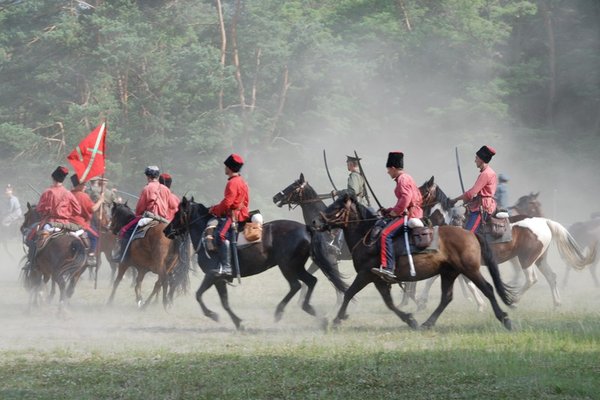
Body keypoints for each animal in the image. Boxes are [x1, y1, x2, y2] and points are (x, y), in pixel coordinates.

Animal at [312, 192, 512, 330]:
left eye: (335, 207)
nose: (315, 222)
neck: (366, 235)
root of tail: (470, 233)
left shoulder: (365, 275)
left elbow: (349, 293)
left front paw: (337, 320)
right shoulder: (379, 280)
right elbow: (389, 303)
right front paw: (410, 319)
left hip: (469, 269)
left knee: (488, 289)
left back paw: (505, 318)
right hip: (449, 272)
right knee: (446, 297)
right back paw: (427, 323)